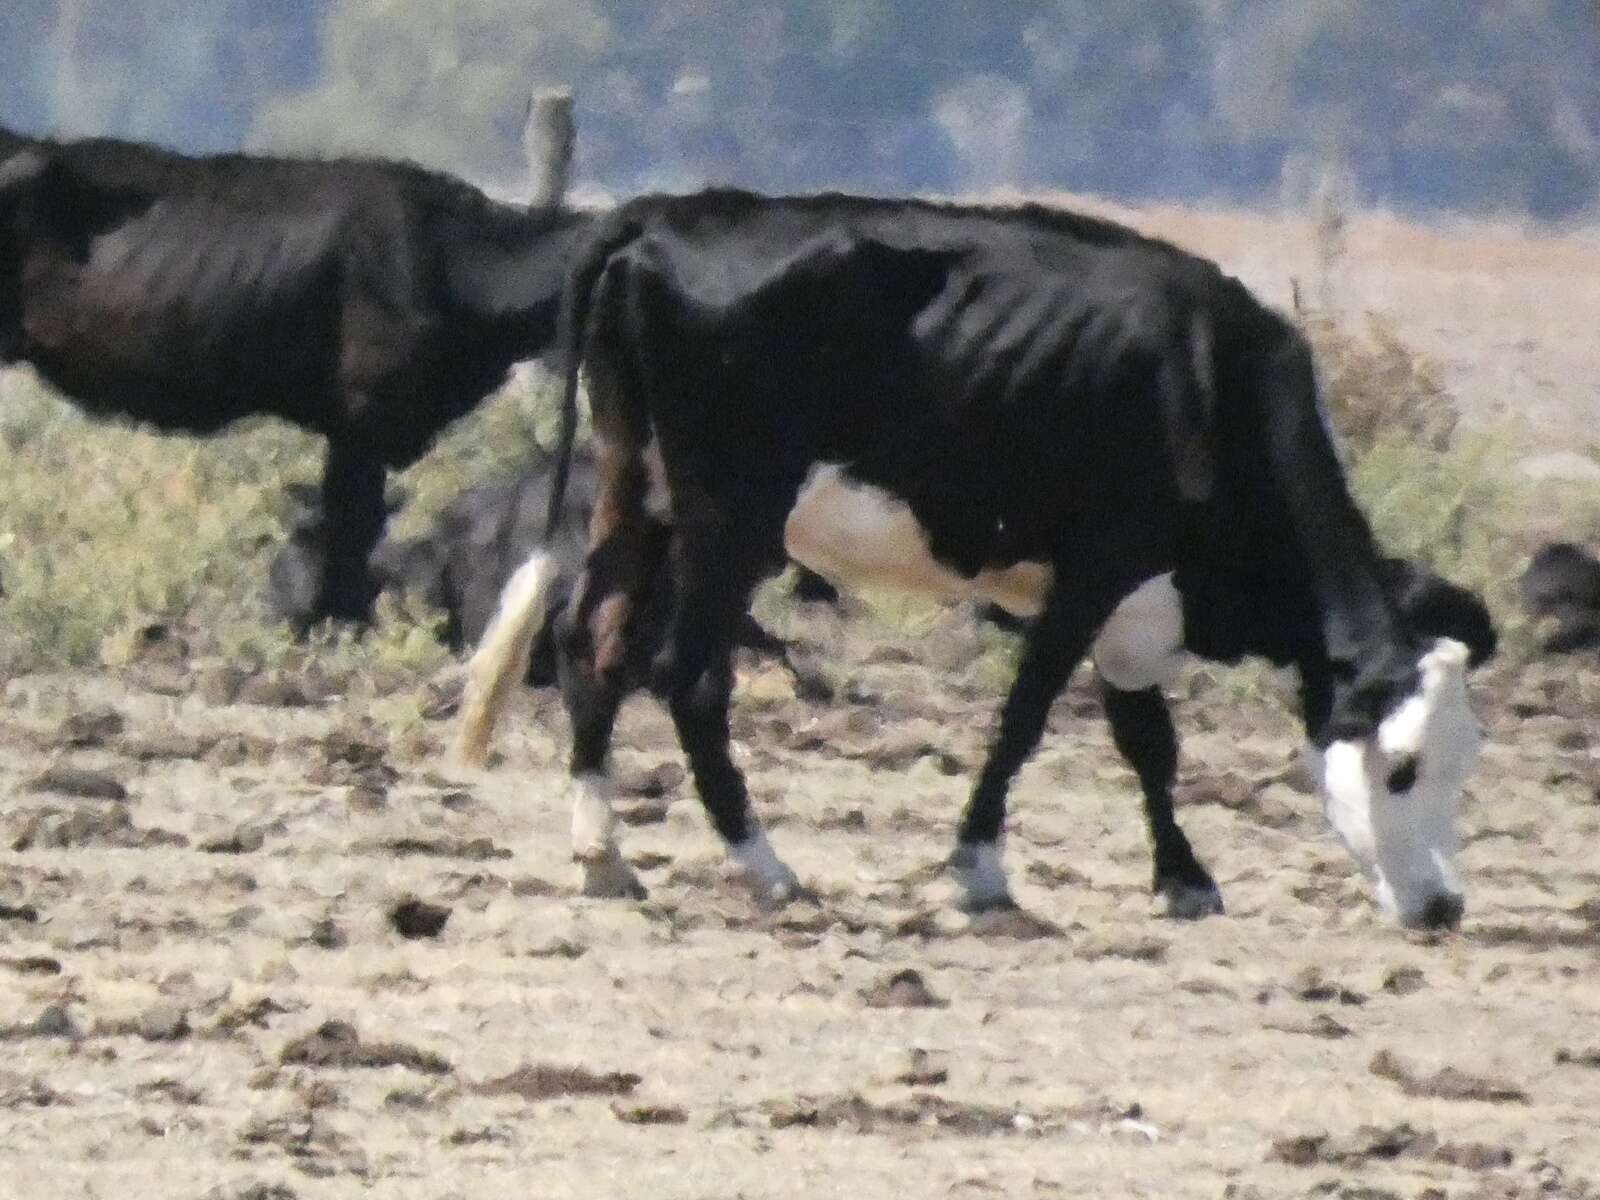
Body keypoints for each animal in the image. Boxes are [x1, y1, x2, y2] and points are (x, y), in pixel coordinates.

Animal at [456, 189, 1490, 930]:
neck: (1209, 386)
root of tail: (664, 213)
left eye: (1465, 760)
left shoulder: (1133, 604)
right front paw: (981, 869)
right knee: (688, 677)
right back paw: (766, 867)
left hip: (641, 494)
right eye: (1402, 766)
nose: (1443, 908)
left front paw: (1184, 877)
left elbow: (1148, 742)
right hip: (730, 518)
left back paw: (603, 855)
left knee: (592, 640)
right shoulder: (1093, 572)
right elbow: (1027, 717)